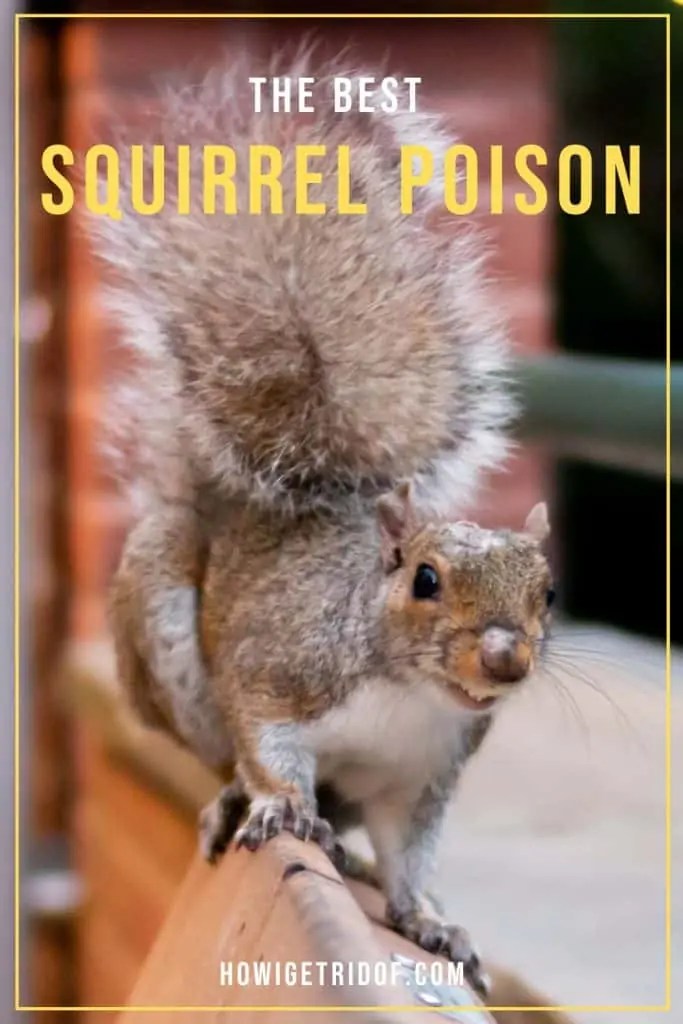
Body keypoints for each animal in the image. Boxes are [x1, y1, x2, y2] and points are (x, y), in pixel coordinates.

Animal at [100, 58, 554, 998]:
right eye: (423, 578)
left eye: (550, 594)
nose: (504, 659)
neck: (407, 696)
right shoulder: (280, 668)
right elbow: (266, 740)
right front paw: (280, 804)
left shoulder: (420, 778)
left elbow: (410, 853)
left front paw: (427, 917)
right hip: (165, 634)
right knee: (218, 753)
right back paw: (236, 801)